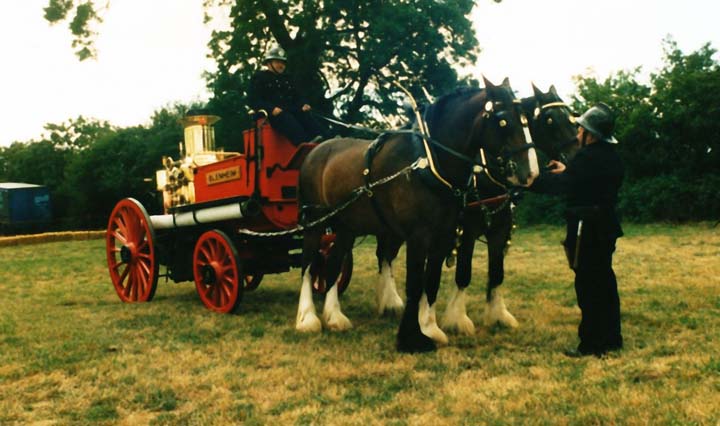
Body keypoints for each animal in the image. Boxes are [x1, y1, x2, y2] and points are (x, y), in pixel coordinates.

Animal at [296, 77, 536, 352]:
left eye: (527, 120)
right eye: (503, 120)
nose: (529, 173)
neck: (428, 163)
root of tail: (316, 149)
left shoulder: (444, 235)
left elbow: (431, 282)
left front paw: (430, 328)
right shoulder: (419, 236)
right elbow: (415, 283)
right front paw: (411, 338)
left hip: (347, 227)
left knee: (334, 264)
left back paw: (334, 316)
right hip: (315, 221)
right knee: (309, 264)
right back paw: (307, 318)